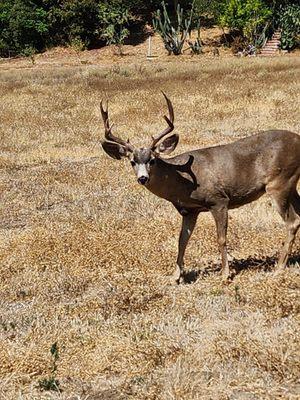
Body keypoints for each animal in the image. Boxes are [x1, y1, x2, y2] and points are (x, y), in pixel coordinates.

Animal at [101, 93, 300, 284]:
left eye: (152, 160)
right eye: (132, 162)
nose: (143, 178)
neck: (182, 183)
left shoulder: (219, 200)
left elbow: (221, 238)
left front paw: (225, 274)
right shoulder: (189, 211)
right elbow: (182, 241)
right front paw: (175, 276)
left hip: (279, 183)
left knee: (292, 221)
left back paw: (278, 268)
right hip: (291, 185)